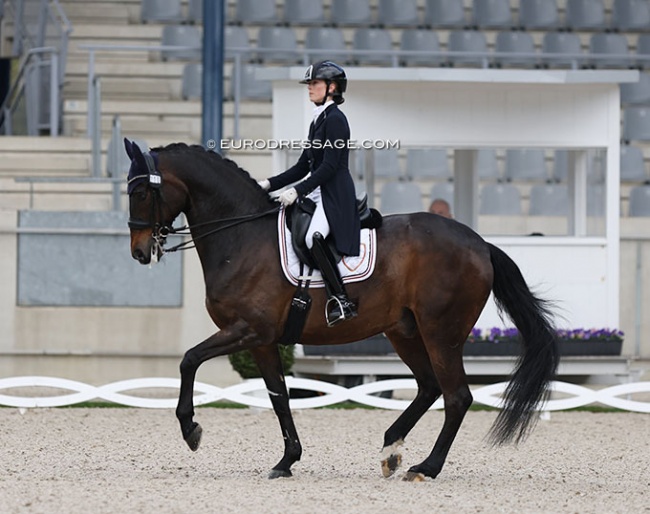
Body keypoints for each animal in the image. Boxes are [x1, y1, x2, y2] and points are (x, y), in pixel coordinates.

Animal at [125, 139, 556, 480]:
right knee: (429, 386)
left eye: (142, 191)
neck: (241, 236)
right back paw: (391, 449)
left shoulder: (247, 329)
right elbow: (278, 396)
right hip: (405, 331)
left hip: (441, 333)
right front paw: (287, 460)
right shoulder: (262, 341)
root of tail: (480, 243)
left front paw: (191, 429)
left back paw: (426, 468)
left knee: (457, 396)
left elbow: (189, 360)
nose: (140, 253)